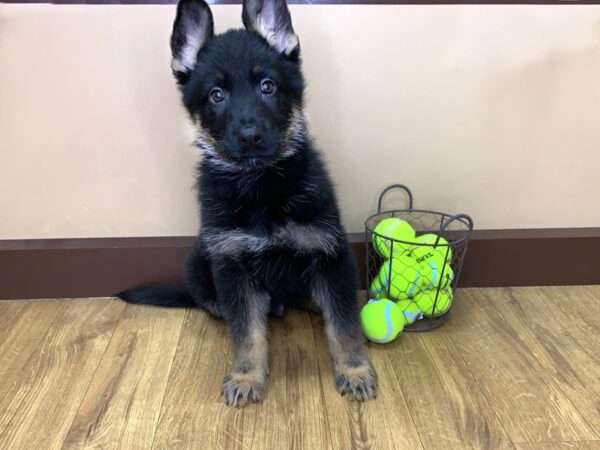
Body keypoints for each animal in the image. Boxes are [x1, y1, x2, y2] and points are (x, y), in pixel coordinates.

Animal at [119, 0, 378, 406]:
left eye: (267, 86)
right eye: (216, 95)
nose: (250, 136)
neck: (261, 186)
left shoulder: (330, 256)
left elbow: (342, 323)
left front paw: (354, 370)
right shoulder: (232, 268)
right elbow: (246, 332)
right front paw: (245, 376)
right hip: (200, 263)